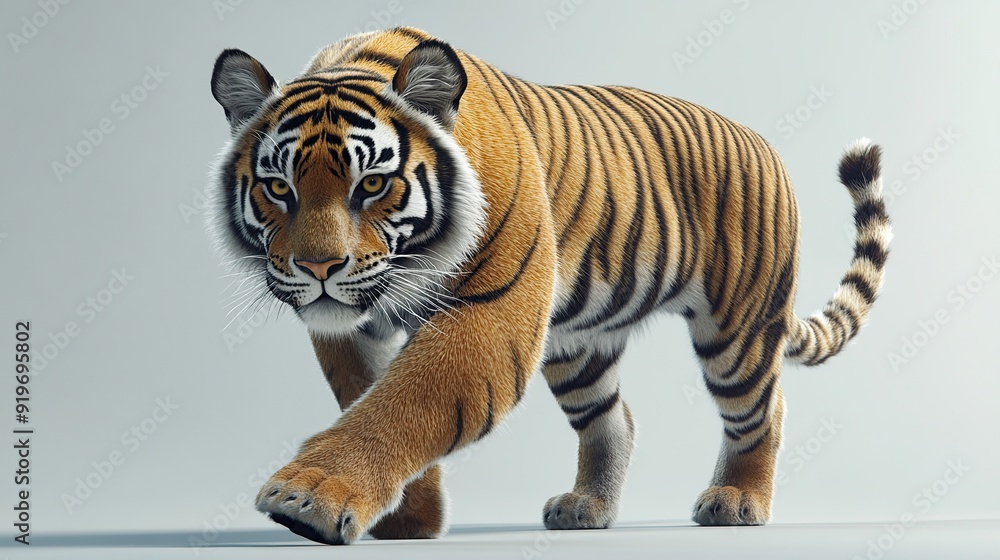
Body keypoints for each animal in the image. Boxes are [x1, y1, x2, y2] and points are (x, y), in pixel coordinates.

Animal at [207, 26, 890, 545]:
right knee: (615, 422)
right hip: (577, 346)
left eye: (372, 184)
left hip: (736, 328)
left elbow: (400, 404)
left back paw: (737, 500)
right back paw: (588, 510)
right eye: (278, 188)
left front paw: (311, 497)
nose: (318, 269)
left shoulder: (488, 314)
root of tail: (762, 140)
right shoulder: (352, 332)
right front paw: (409, 518)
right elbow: (367, 398)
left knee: (761, 410)